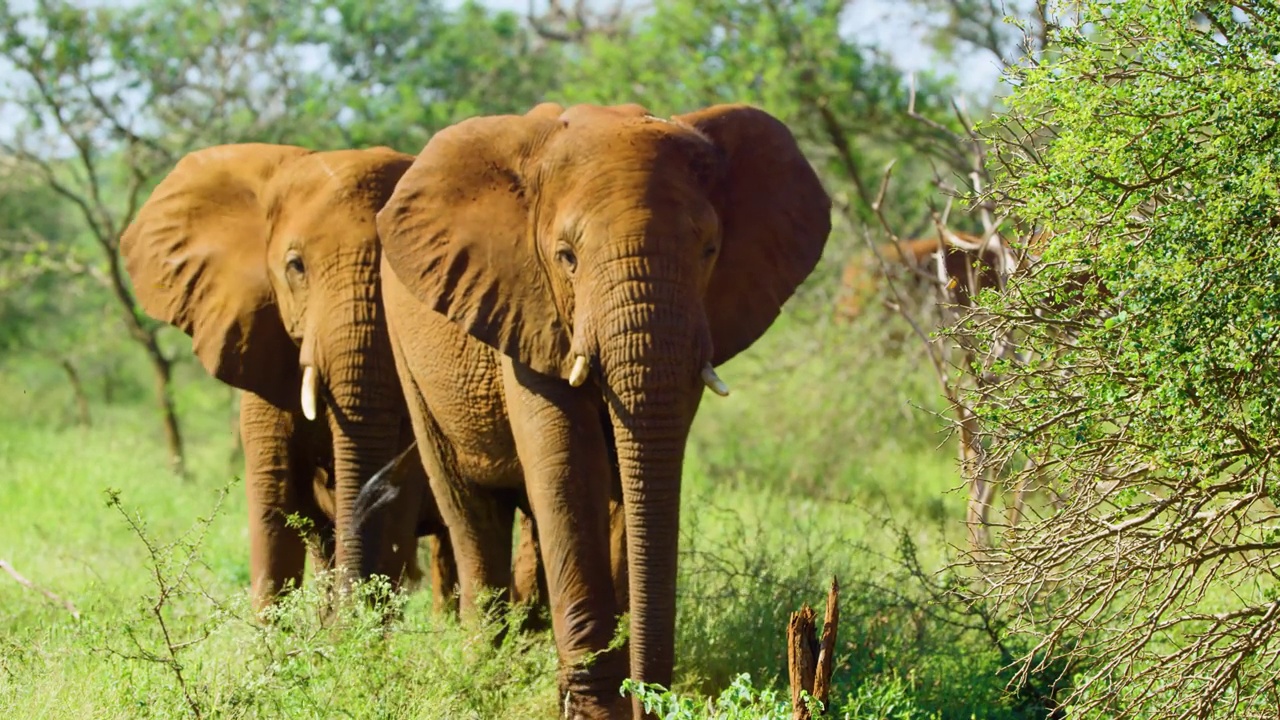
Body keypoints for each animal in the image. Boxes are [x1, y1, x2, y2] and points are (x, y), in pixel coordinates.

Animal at [371, 99, 829, 712]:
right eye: (566, 257)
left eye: (709, 250)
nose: (650, 705)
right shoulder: (529, 306)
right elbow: (570, 469)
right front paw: (592, 706)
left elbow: (624, 484)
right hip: (410, 359)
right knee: (470, 510)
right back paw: (486, 674)